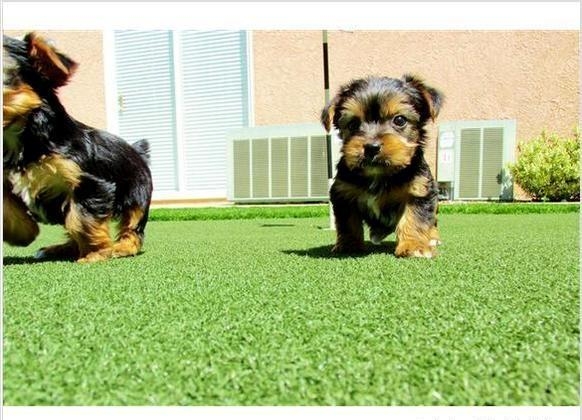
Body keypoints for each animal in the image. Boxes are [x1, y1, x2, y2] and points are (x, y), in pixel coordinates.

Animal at [2, 32, 153, 262]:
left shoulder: (89, 181)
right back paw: (58, 249)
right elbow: (6, 206)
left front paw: (95, 252)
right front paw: (23, 233)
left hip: (138, 190)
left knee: (133, 224)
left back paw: (121, 247)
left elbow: (82, 219)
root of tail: (137, 151)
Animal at [322, 76, 444, 260]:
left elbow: (415, 218)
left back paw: (433, 239)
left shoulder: (419, 189)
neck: (379, 174)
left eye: (399, 120)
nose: (371, 147)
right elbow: (348, 222)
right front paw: (349, 245)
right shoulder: (343, 194)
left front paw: (414, 246)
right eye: (353, 124)